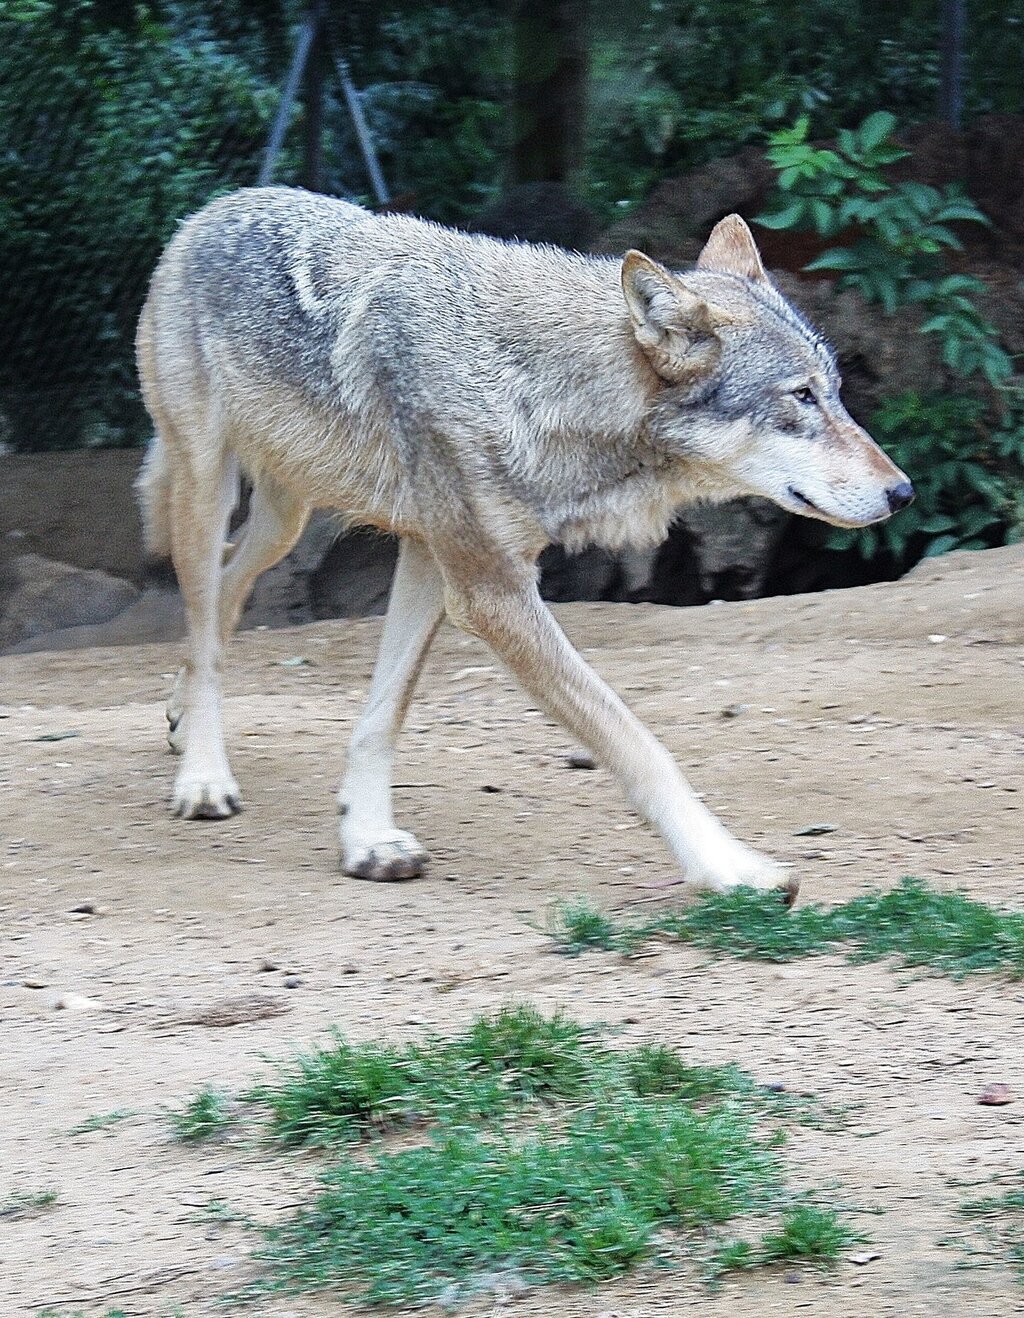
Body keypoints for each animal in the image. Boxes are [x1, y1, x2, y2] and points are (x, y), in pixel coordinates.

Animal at [135, 188, 911, 906]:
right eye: (801, 397)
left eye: (836, 392)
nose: (903, 492)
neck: (531, 381)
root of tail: (214, 208)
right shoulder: (491, 590)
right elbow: (631, 737)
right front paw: (728, 867)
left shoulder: (433, 558)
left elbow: (384, 713)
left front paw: (367, 839)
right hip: (208, 491)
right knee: (203, 613)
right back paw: (202, 775)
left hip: (285, 520)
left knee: (225, 594)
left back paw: (180, 716)